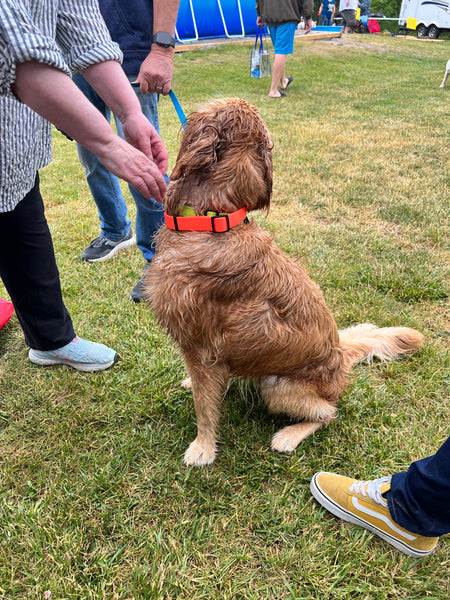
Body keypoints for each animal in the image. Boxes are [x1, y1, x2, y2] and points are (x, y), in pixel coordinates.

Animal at [146, 98, 424, 466]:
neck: (214, 221)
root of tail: (340, 354)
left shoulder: (202, 348)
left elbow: (205, 409)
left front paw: (202, 448)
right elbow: (206, 390)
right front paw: (196, 391)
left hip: (277, 386)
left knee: (329, 413)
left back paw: (289, 435)